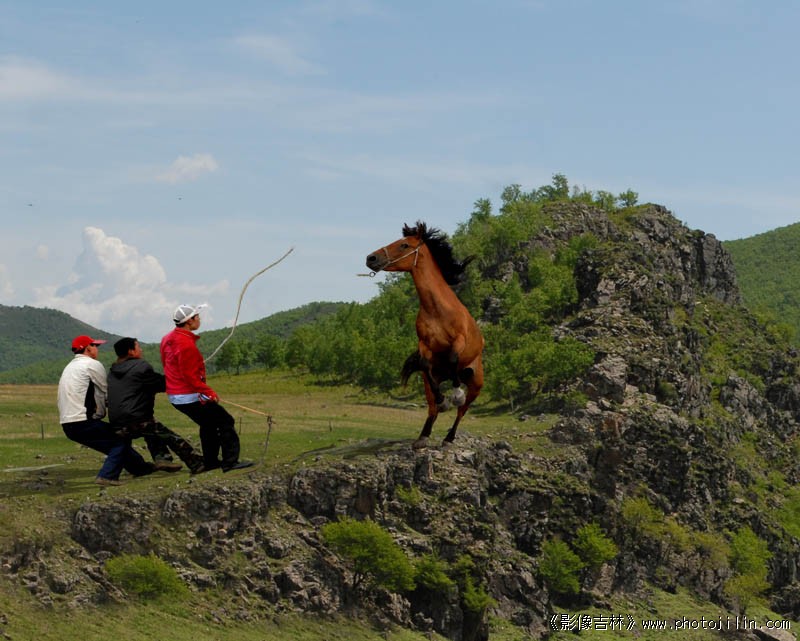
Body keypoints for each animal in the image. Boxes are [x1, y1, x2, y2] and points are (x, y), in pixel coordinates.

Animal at [366, 221, 484, 449]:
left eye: (404, 245)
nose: (371, 258)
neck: (438, 309)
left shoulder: (460, 340)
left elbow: (453, 358)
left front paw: (456, 395)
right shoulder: (425, 344)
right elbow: (424, 363)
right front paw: (444, 400)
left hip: (476, 384)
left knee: (462, 410)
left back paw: (449, 437)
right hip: (429, 382)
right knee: (432, 407)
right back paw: (423, 435)